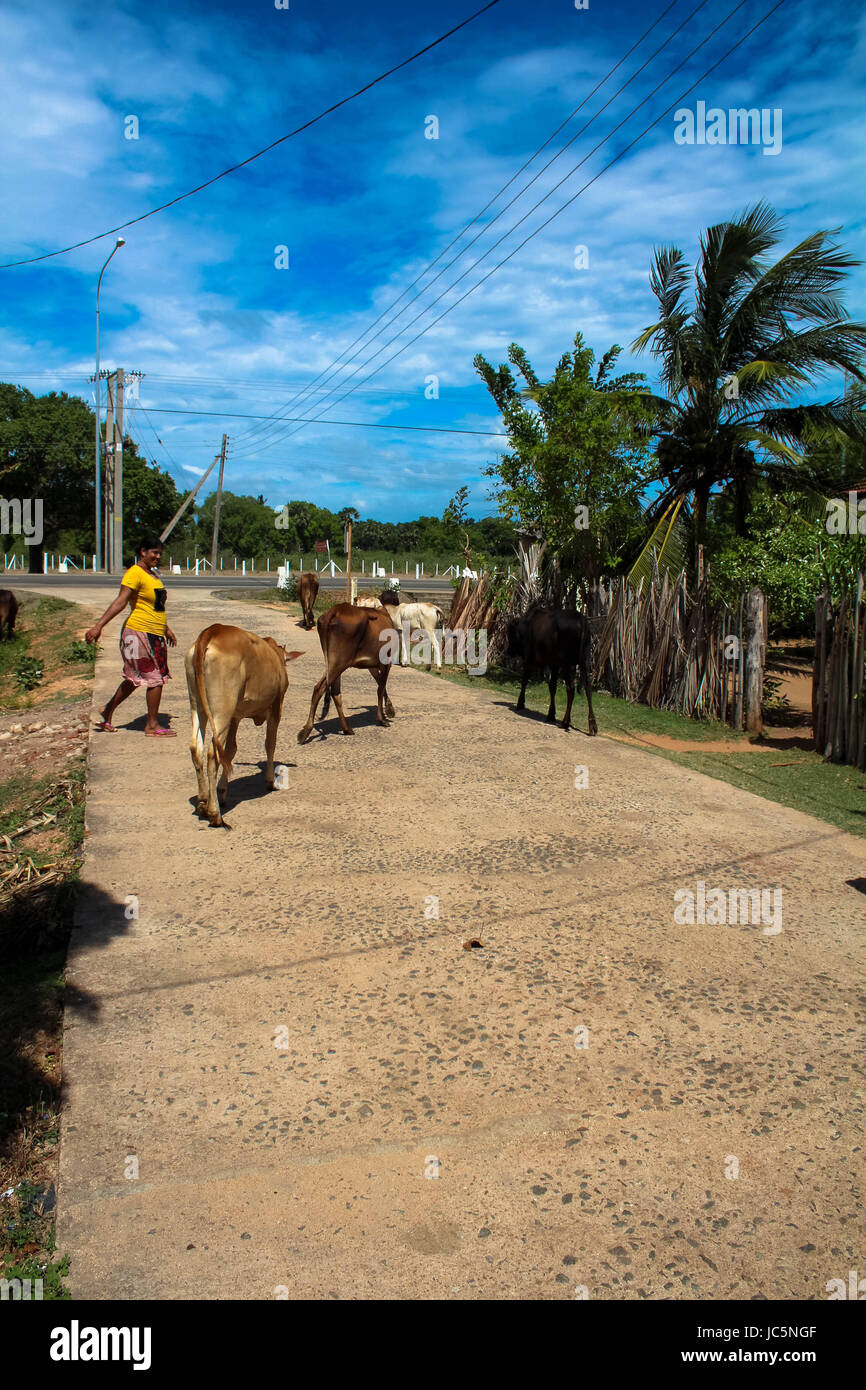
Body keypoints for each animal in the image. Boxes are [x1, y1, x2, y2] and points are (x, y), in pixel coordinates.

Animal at [184, 628, 303, 822]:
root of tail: (213, 630)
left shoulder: (235, 717)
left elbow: (231, 750)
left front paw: (222, 791)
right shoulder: (276, 709)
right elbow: (270, 744)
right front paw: (270, 781)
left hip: (197, 704)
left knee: (196, 748)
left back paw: (202, 800)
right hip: (222, 711)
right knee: (212, 754)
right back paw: (214, 813)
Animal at [294, 603, 397, 745]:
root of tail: (335, 610)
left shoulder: (372, 665)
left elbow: (380, 684)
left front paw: (390, 709)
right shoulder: (386, 661)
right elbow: (380, 688)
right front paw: (382, 719)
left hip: (332, 662)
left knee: (334, 692)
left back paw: (346, 728)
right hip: (340, 662)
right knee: (320, 689)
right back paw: (306, 732)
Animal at [508, 608, 594, 739]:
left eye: (510, 634)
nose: (508, 651)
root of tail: (581, 618)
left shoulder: (529, 659)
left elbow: (524, 681)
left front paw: (520, 703)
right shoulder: (554, 664)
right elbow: (552, 687)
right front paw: (551, 714)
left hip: (568, 665)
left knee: (571, 689)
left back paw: (565, 722)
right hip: (585, 660)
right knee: (588, 688)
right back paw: (592, 725)